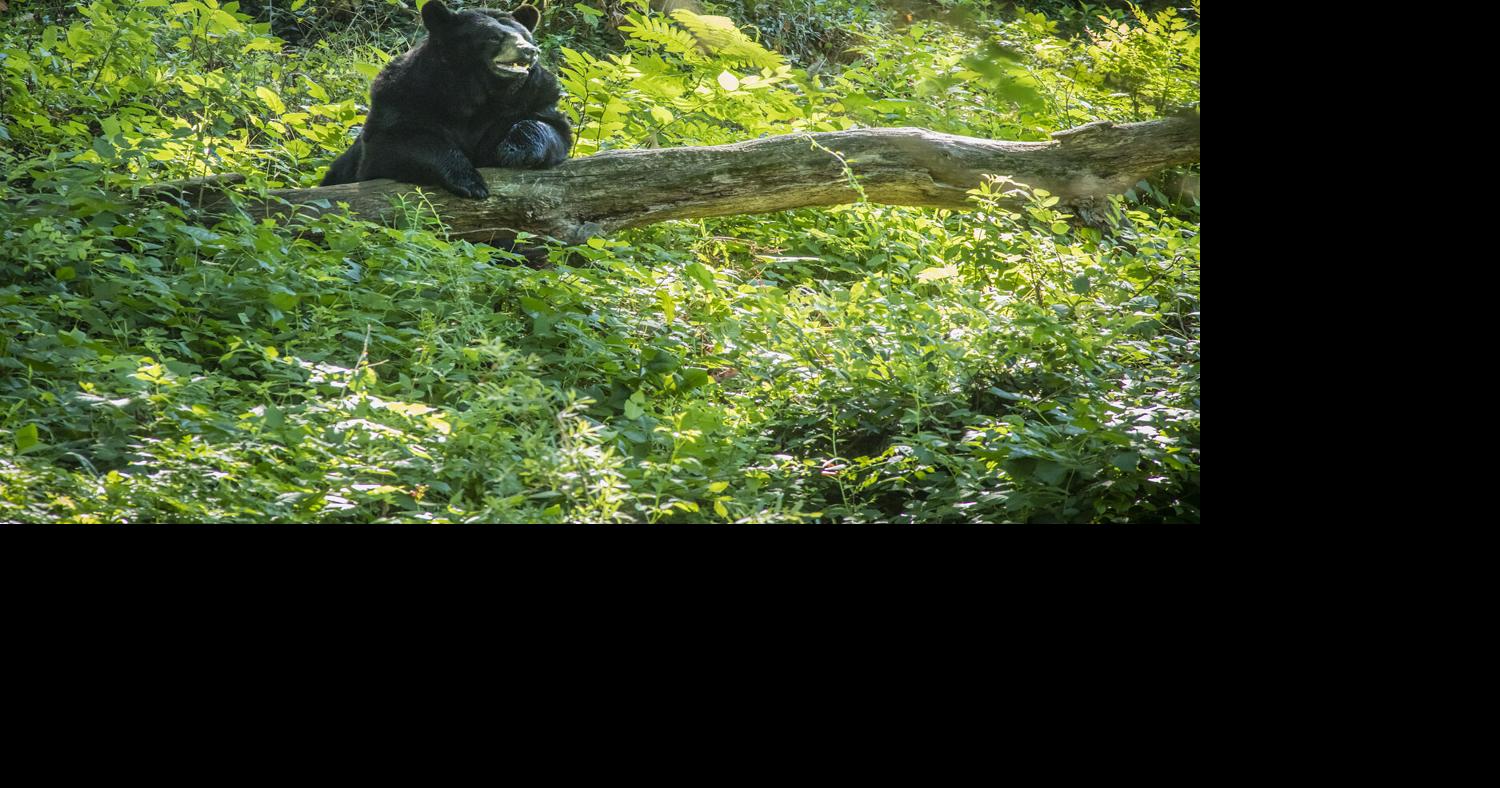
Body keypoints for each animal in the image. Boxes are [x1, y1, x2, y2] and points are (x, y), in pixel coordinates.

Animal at [320, 1, 572, 199]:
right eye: (494, 37)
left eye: (525, 36)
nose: (530, 50)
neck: (477, 92)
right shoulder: (403, 98)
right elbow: (397, 143)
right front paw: (470, 182)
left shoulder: (530, 97)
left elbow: (550, 126)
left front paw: (515, 150)